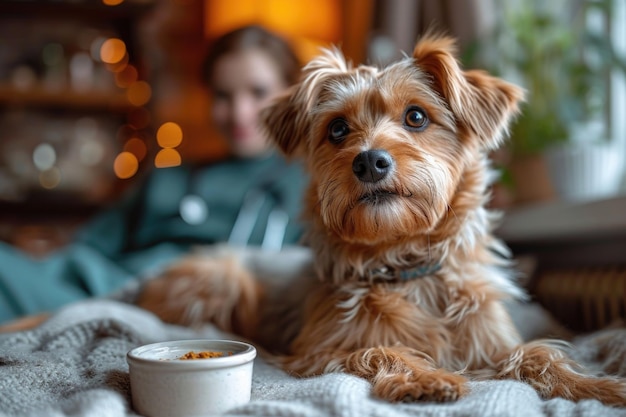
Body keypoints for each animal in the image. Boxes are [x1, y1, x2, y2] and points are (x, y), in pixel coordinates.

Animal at [136, 34, 624, 404]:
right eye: (336, 129)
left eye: (416, 116)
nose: (369, 161)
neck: (405, 263)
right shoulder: (320, 349)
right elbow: (377, 348)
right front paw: (426, 377)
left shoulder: (491, 343)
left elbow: (538, 355)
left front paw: (597, 386)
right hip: (222, 278)